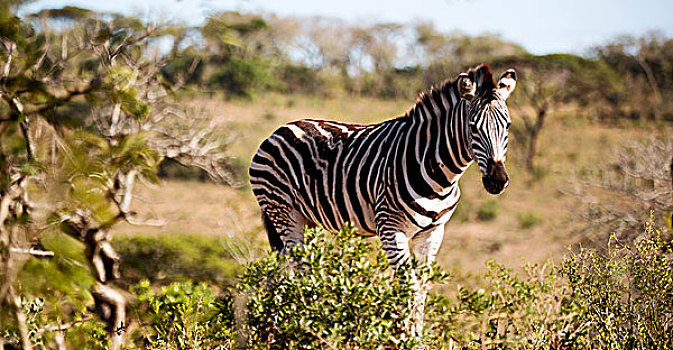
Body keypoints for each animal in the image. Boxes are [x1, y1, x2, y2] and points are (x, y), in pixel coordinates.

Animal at [249, 63, 516, 328]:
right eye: (472, 127)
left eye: (508, 126)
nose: (497, 180)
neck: (439, 173)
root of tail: (280, 130)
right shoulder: (390, 227)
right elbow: (409, 289)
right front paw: (403, 334)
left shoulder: (433, 232)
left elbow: (422, 289)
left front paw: (418, 333)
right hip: (284, 211)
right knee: (298, 267)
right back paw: (305, 321)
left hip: (306, 219)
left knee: (284, 267)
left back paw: (280, 320)